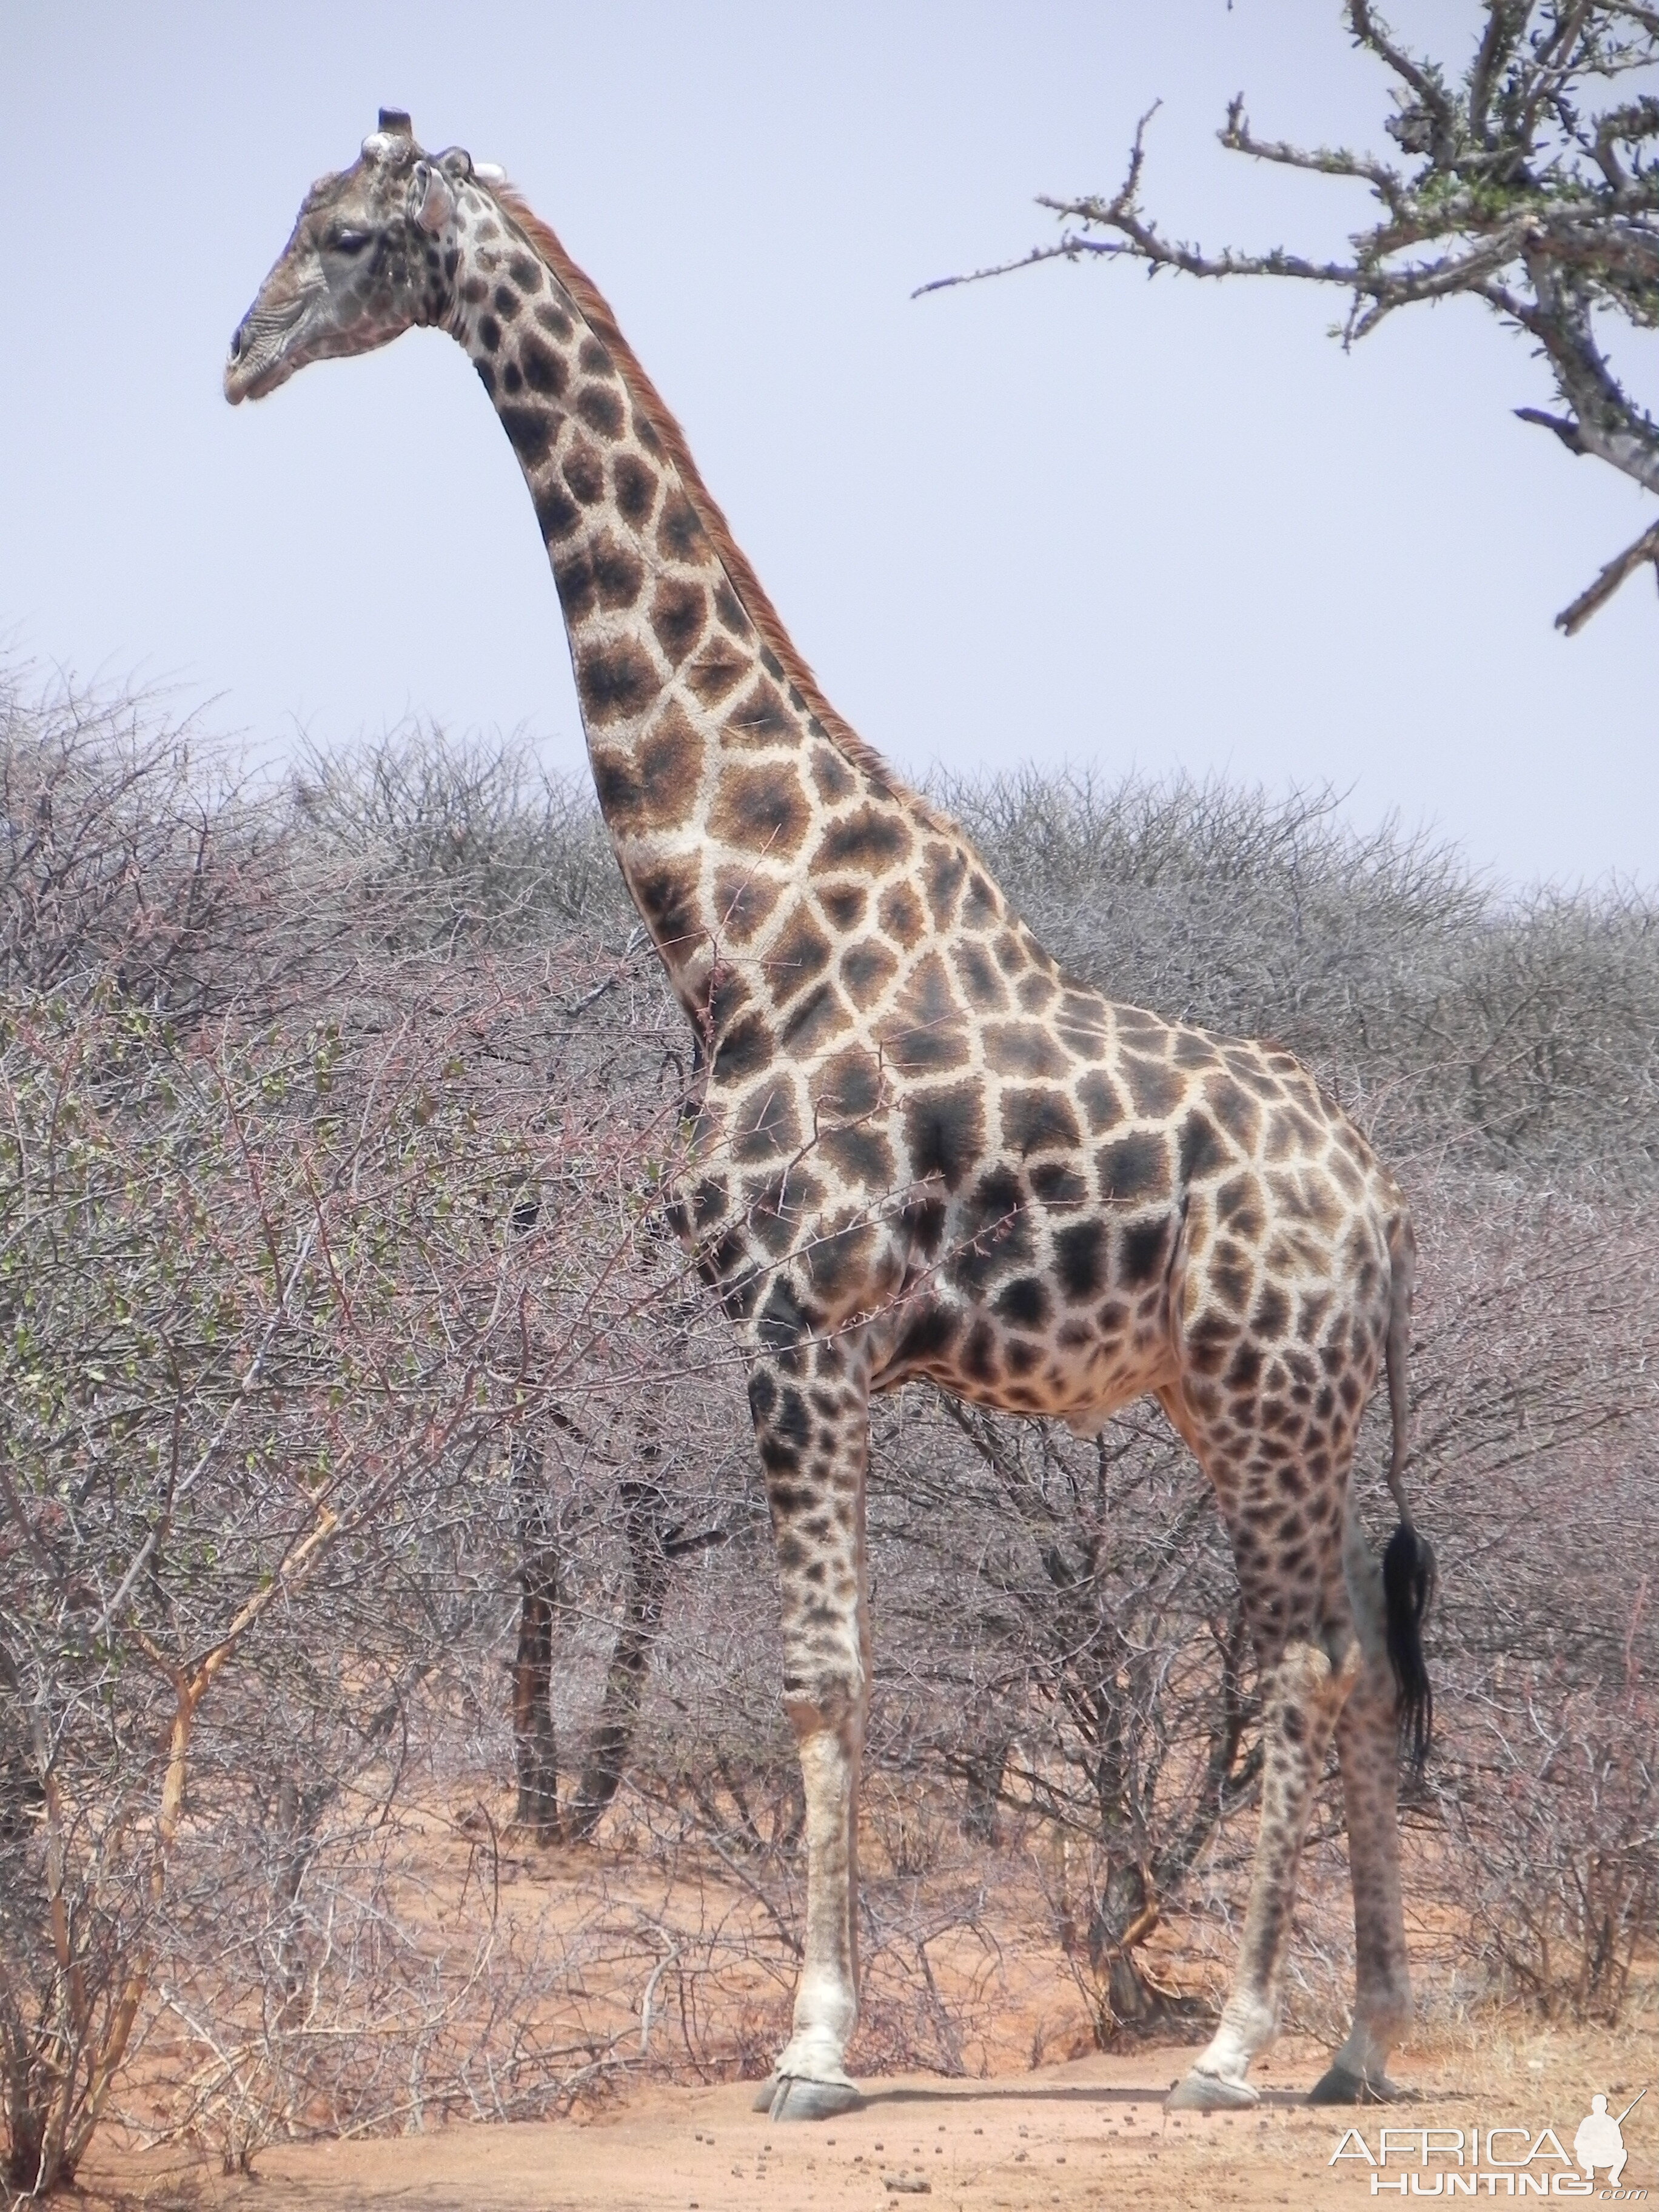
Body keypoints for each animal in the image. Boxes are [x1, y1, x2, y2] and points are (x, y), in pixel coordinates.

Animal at [227, 112, 1433, 2114]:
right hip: (1256, 1400)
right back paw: (1359, 2038)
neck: (736, 921)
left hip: (1270, 1396)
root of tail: (1385, 1206)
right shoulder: (830, 1350)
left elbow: (822, 1679)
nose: (236, 356)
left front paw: (813, 2042)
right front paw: (822, 2023)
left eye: (341, 236)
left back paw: (1238, 2042)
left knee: (1295, 1661)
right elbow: (840, 1674)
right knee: (1345, 1654)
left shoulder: (794, 1327)